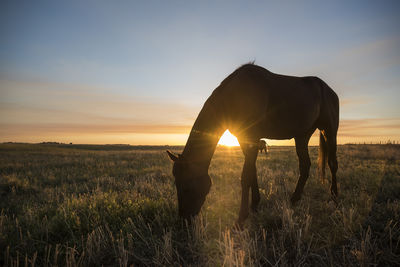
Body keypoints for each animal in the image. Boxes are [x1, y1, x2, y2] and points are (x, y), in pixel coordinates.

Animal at [166, 63, 338, 226]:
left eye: (186, 187)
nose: (184, 220)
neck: (235, 96)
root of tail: (329, 90)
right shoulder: (245, 140)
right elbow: (252, 172)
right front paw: (254, 205)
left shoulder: (252, 138)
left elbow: (245, 176)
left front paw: (241, 219)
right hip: (302, 135)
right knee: (305, 165)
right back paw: (294, 199)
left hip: (329, 130)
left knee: (332, 163)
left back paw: (334, 196)